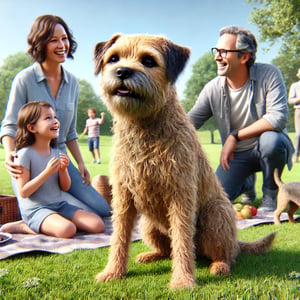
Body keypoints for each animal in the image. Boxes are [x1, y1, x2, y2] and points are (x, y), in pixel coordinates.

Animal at [92, 32, 276, 288]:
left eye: (148, 61)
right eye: (113, 58)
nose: (122, 72)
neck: (144, 129)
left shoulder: (180, 195)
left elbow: (181, 239)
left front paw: (182, 280)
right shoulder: (123, 198)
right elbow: (119, 237)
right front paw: (112, 272)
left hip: (215, 215)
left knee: (227, 254)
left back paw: (219, 266)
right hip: (147, 224)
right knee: (166, 250)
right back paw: (150, 255)